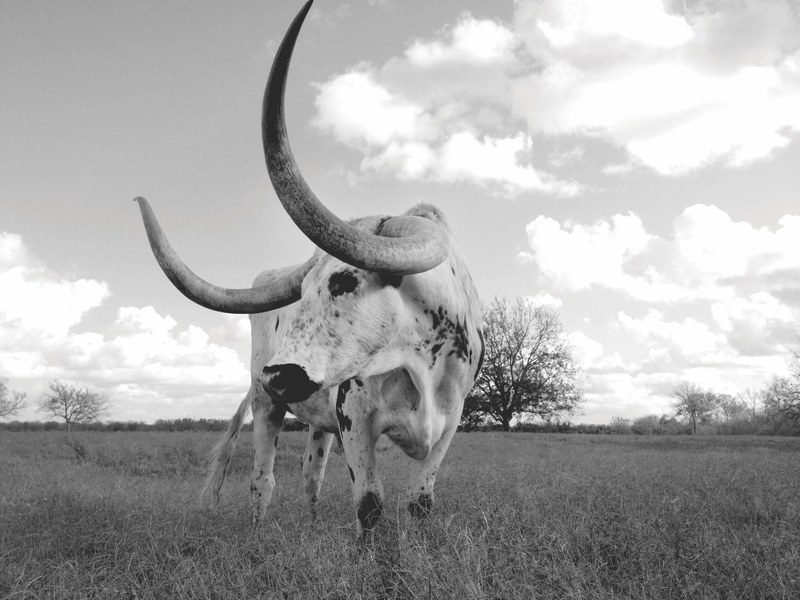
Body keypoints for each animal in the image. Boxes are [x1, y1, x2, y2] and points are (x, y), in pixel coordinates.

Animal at [134, 0, 483, 539]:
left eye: (344, 281)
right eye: (303, 293)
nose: (279, 373)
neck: (421, 359)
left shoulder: (450, 424)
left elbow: (419, 501)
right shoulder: (355, 417)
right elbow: (369, 505)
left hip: (316, 422)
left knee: (311, 476)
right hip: (267, 407)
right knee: (263, 479)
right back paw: (258, 534)